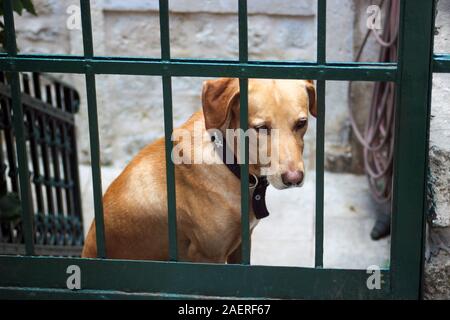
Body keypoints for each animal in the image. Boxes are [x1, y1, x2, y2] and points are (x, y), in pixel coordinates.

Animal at [83, 79, 316, 264]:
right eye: (261, 128)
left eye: (301, 123)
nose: (294, 179)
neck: (227, 161)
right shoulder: (208, 256)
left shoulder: (242, 244)